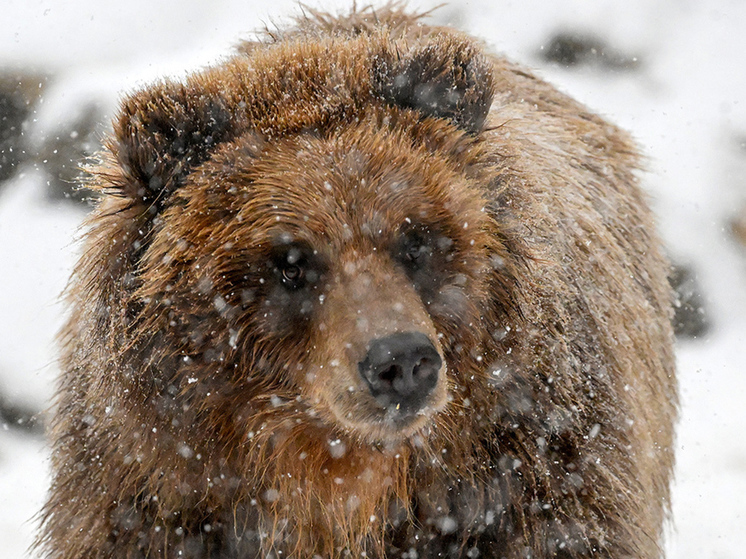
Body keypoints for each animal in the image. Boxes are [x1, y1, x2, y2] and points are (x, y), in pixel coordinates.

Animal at [39, 4, 676, 559]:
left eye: (417, 238)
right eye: (290, 261)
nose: (402, 361)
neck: (342, 488)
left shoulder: (535, 483)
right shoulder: (151, 505)